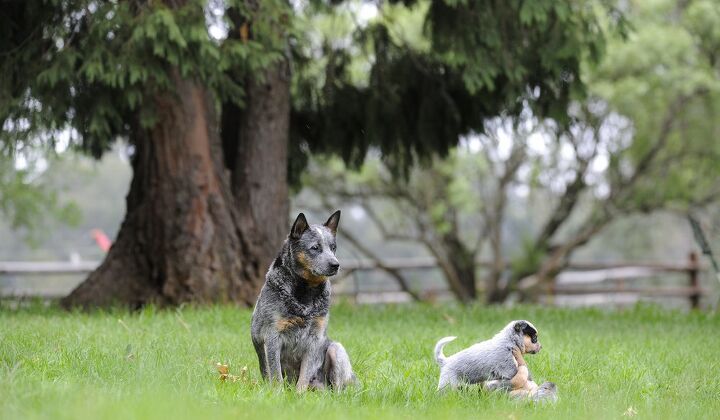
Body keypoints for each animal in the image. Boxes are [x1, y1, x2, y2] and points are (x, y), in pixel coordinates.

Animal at [250, 212, 358, 392]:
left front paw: (299, 394)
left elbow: (305, 374)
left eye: (333, 247)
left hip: (336, 349)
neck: (306, 293)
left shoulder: (315, 338)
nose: (335, 264)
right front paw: (278, 393)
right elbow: (276, 374)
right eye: (315, 247)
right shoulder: (272, 336)